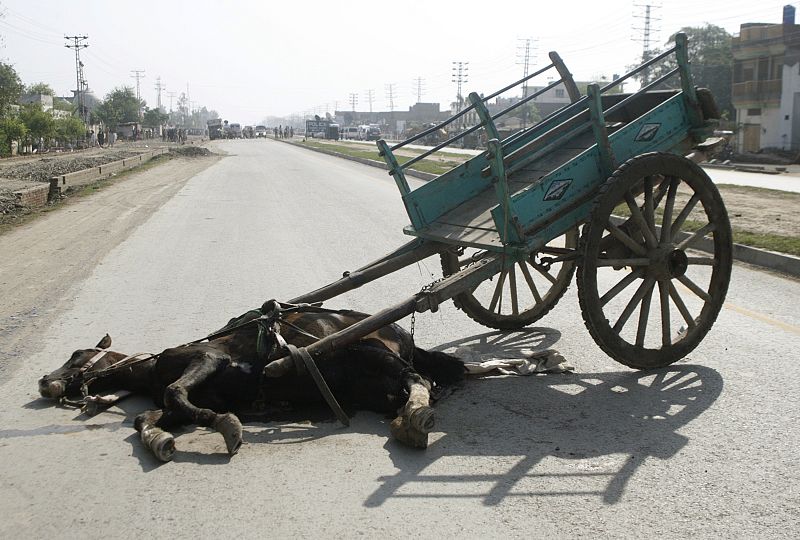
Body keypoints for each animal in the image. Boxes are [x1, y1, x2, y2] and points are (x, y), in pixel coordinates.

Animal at [37, 300, 462, 460]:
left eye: (75, 354)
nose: (44, 380)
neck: (152, 367)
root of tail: (402, 332)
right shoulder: (198, 397)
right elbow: (152, 415)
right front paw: (159, 439)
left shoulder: (209, 357)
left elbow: (175, 392)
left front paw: (228, 427)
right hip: (373, 385)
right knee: (415, 383)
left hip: (369, 351)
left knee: (418, 378)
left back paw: (415, 420)